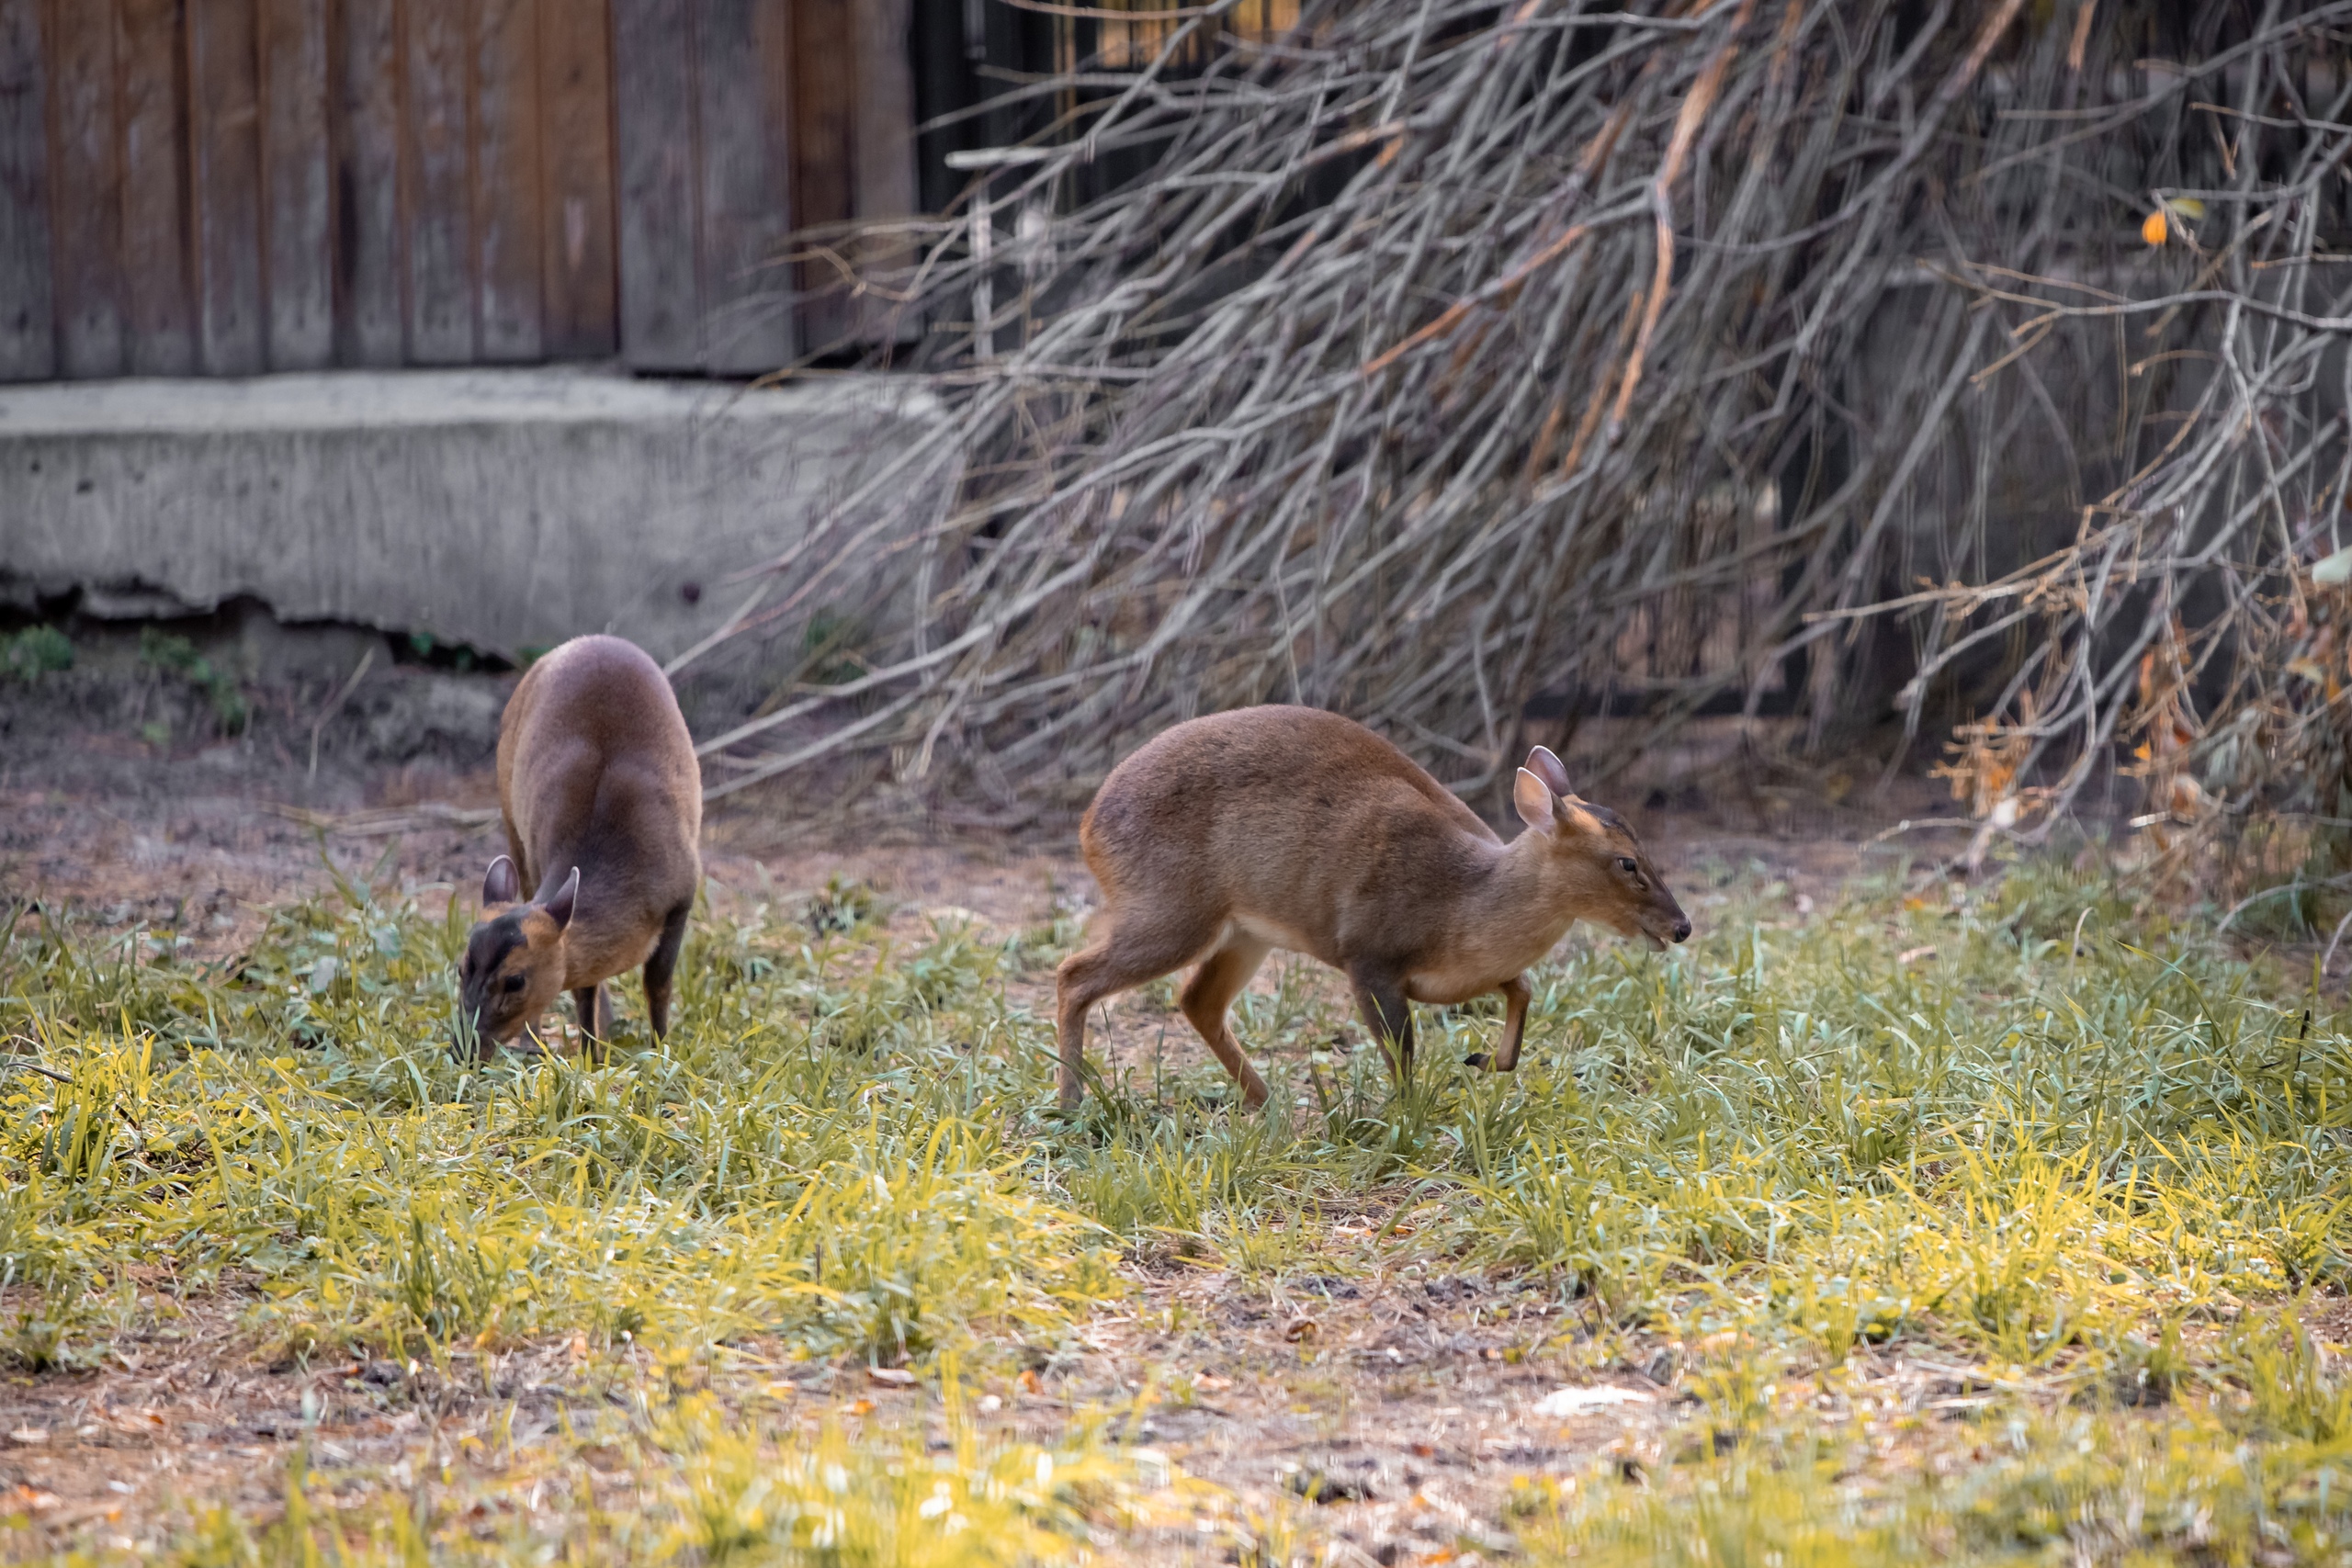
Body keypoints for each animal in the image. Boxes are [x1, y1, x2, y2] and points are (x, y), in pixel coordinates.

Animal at [454, 634, 700, 1053]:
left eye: (516, 980)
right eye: (460, 968)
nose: (462, 1050)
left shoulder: (683, 893)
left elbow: (658, 983)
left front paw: (661, 1046)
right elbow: (585, 987)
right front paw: (590, 1053)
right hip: (511, 817)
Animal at [1053, 705, 1693, 1109]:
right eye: (1627, 863)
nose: (1682, 926)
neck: (1463, 903)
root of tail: (1087, 824)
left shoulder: (1473, 971)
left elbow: (1523, 990)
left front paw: (1484, 1060)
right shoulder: (1367, 954)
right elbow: (1402, 1053)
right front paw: (1410, 1118)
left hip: (1244, 932)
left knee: (1197, 1000)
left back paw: (1269, 1102)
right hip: (1170, 908)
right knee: (1073, 974)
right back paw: (1073, 1102)